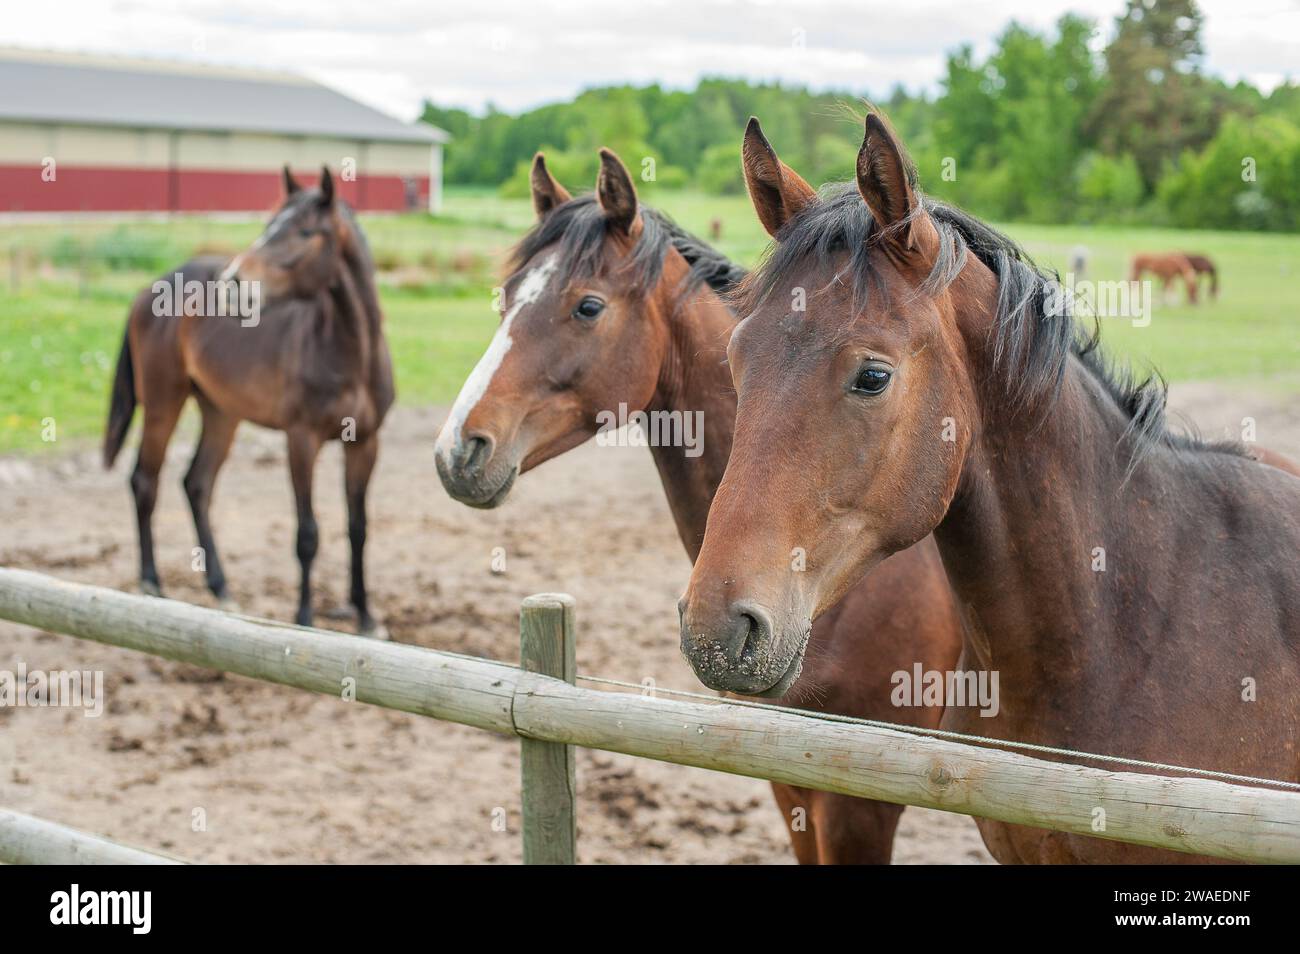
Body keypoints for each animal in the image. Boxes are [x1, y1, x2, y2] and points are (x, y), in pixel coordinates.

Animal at [102, 167, 390, 639]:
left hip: (221, 413)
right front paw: (304, 618)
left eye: (305, 232)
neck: (349, 351)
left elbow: (359, 528)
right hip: (164, 404)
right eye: (269, 225)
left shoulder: (365, 442)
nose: (234, 283)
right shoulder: (301, 441)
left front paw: (366, 618)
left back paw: (222, 589)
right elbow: (307, 533)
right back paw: (151, 583)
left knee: (196, 485)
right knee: (145, 481)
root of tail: (148, 290)